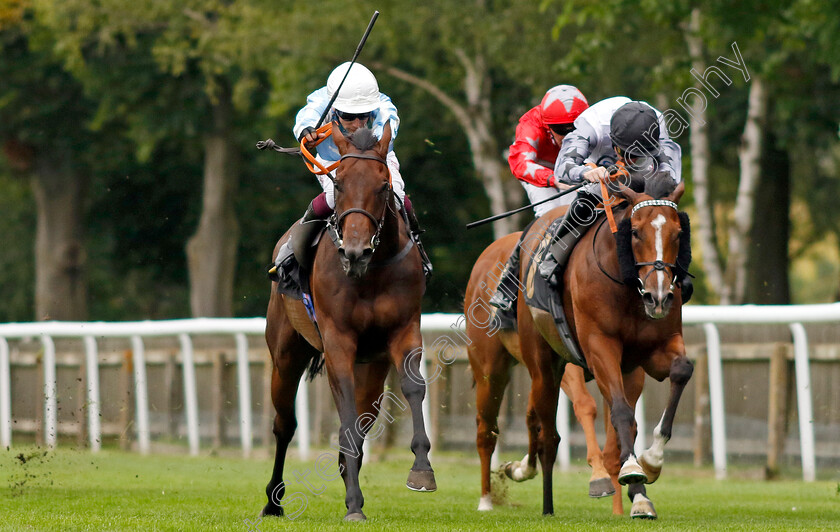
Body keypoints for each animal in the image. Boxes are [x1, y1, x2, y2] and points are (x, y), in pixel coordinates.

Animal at [260, 122, 434, 520]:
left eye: (383, 185)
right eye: (338, 183)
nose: (356, 252)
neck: (370, 272)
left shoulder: (404, 331)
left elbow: (413, 388)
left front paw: (421, 470)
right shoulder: (338, 339)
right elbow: (343, 414)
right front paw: (354, 503)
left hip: (372, 367)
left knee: (362, 417)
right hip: (285, 355)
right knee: (284, 425)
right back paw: (273, 501)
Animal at [466, 176, 688, 520]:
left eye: (678, 233)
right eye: (635, 232)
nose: (660, 296)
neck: (626, 285)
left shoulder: (650, 352)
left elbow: (679, 373)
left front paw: (648, 468)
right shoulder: (597, 348)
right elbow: (611, 410)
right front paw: (620, 474)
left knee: (535, 421)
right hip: (504, 368)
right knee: (501, 431)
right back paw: (495, 500)